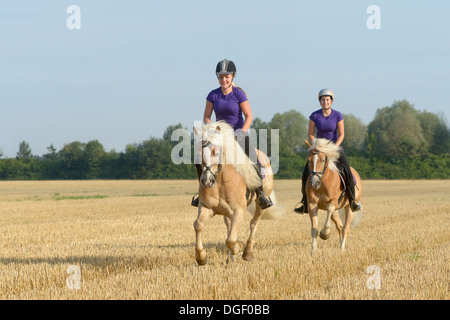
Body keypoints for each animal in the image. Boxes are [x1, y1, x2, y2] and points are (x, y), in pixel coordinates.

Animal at [192, 120, 284, 264]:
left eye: (215, 153)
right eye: (197, 155)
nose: (207, 181)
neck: (220, 181)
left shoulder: (238, 211)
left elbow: (230, 240)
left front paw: (239, 246)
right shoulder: (207, 207)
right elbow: (198, 225)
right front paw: (201, 257)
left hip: (260, 204)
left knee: (254, 224)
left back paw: (247, 252)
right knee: (229, 227)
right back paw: (230, 259)